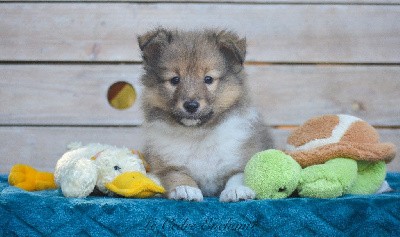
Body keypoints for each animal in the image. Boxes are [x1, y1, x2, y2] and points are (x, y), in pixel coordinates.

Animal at [139, 27, 274, 202]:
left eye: (208, 79)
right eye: (175, 80)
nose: (191, 105)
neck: (199, 135)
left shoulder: (243, 157)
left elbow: (238, 175)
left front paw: (236, 191)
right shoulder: (166, 166)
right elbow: (177, 175)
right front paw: (186, 189)